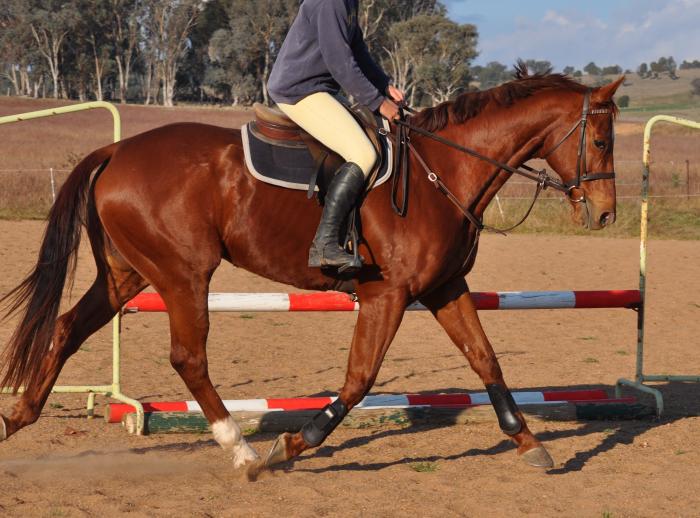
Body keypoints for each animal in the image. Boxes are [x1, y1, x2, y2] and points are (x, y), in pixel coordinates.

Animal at [0, 67, 623, 477]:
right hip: (183, 273)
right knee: (188, 358)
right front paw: (296, 443)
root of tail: (117, 151)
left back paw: (17, 418)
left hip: (127, 273)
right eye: (599, 138)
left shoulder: (446, 287)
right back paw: (242, 450)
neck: (440, 171)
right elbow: (359, 378)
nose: (606, 214)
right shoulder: (387, 294)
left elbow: (485, 358)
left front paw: (528, 441)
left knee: (66, 329)